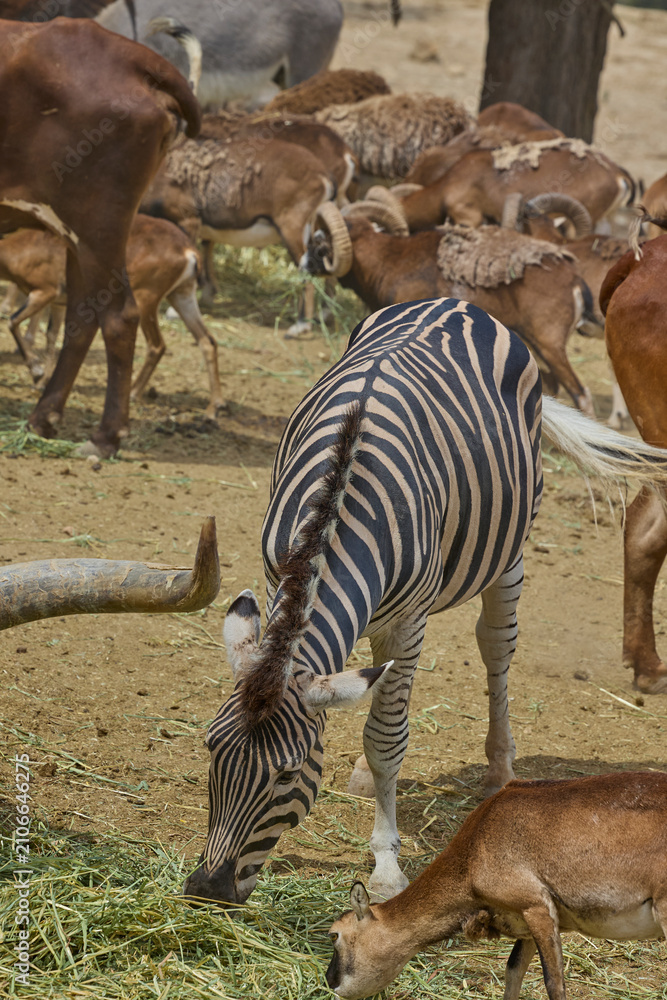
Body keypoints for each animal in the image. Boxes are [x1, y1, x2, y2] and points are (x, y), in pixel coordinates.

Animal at [184, 297, 667, 906]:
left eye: (288, 774)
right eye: (210, 747)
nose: (208, 889)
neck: (336, 502)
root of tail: (457, 302)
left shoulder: (409, 623)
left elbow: (387, 739)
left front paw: (387, 867)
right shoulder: (278, 583)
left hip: (509, 552)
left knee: (496, 648)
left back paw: (498, 769)